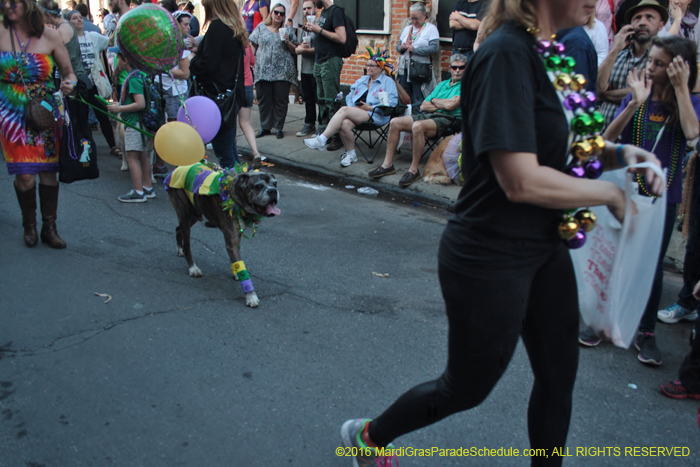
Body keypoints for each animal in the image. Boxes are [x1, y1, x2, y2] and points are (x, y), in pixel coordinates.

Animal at [165, 163, 280, 308]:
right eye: (258, 186)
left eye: (275, 183)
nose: (273, 191)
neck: (236, 198)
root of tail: (177, 168)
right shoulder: (231, 241)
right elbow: (241, 265)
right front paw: (250, 296)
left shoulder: (236, 236)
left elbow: (237, 261)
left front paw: (236, 272)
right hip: (186, 213)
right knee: (187, 245)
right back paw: (192, 267)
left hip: (194, 214)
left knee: (178, 228)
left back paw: (179, 249)